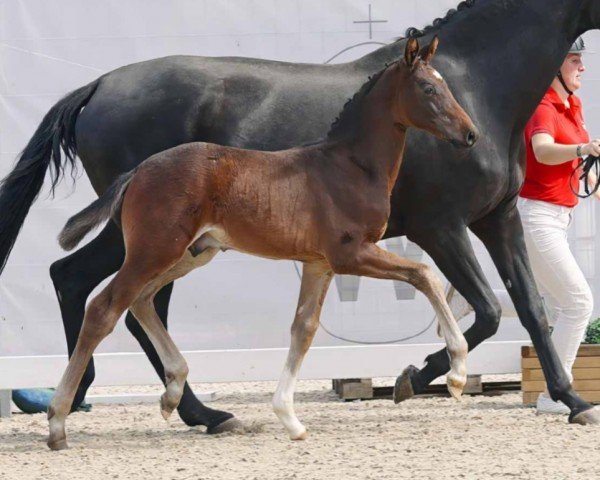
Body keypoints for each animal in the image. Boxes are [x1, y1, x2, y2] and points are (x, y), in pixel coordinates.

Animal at [48, 38, 478, 450]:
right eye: (428, 88)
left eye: (446, 85)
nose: (470, 134)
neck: (349, 166)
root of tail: (138, 171)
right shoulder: (350, 254)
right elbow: (424, 274)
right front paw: (457, 373)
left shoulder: (319, 263)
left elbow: (303, 329)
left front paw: (290, 419)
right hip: (154, 250)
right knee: (104, 308)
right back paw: (58, 422)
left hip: (192, 253)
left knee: (140, 301)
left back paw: (173, 392)